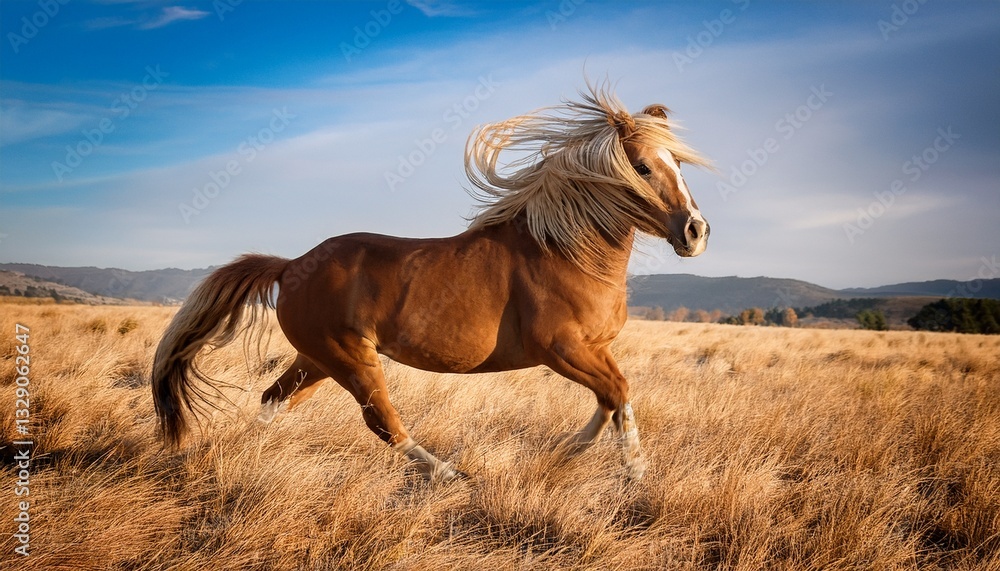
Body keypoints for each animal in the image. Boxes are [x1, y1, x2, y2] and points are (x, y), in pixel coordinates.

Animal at [151, 82, 711, 483]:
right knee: (383, 424)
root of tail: (290, 266)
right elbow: (617, 393)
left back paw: (251, 457)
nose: (695, 231)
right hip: (350, 360)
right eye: (642, 166)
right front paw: (619, 468)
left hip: (316, 360)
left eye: (679, 164)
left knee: (272, 400)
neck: (564, 252)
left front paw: (584, 458)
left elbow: (613, 400)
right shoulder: (562, 348)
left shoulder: (595, 348)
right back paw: (448, 475)